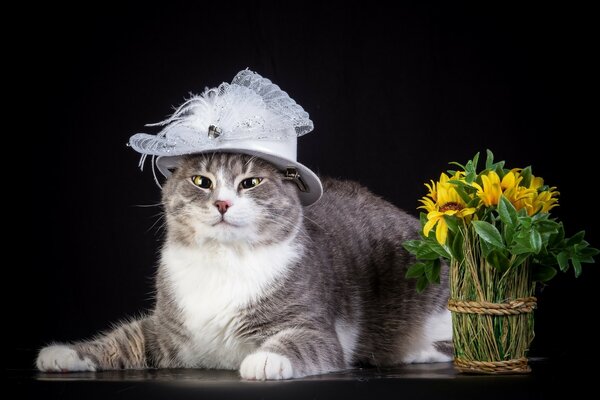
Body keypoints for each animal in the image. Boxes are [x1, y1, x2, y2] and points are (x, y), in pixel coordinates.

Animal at [36, 152, 450, 378]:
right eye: (201, 181)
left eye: (250, 182)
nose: (222, 203)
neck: (224, 262)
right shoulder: (168, 330)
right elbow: (124, 338)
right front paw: (66, 353)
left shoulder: (316, 327)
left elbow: (303, 342)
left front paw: (266, 359)